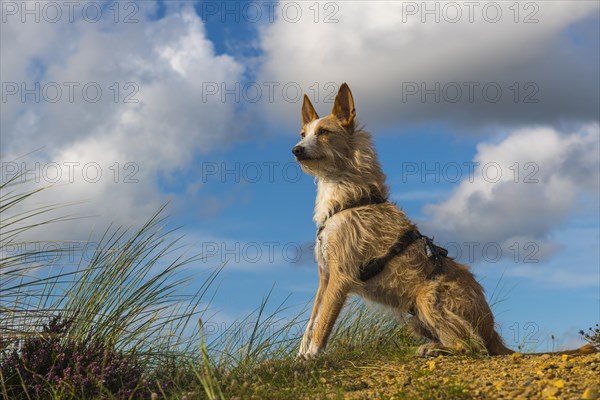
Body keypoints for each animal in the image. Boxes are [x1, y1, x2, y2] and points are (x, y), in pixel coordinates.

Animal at [292, 83, 596, 358]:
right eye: (303, 134)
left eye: (324, 132)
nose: (296, 149)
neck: (350, 198)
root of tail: (490, 330)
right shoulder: (325, 277)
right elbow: (310, 325)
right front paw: (299, 360)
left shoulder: (341, 277)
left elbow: (322, 326)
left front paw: (310, 362)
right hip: (415, 316)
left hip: (427, 296)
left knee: (472, 347)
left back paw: (436, 350)